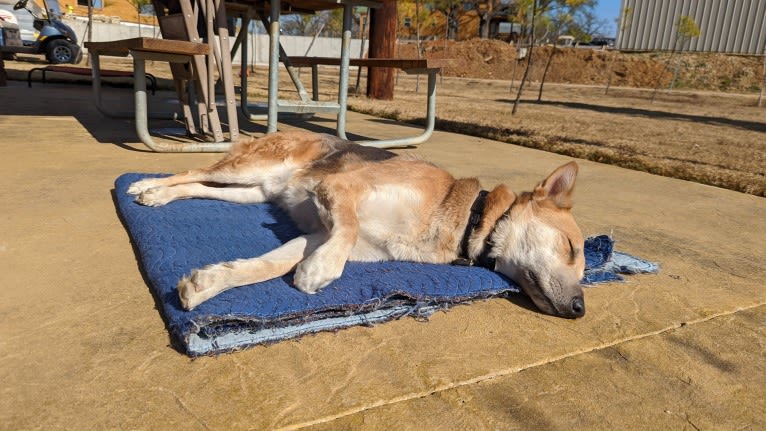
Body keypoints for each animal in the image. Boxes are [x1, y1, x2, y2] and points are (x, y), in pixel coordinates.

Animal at [127, 133, 588, 318]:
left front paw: (209, 284)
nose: (580, 309)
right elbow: (345, 231)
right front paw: (322, 270)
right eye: (570, 247)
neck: (466, 217)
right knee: (191, 170)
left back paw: (160, 196)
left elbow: (269, 265)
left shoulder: (316, 233)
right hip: (250, 169)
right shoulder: (339, 188)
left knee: (198, 186)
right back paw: (147, 186)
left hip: (253, 192)